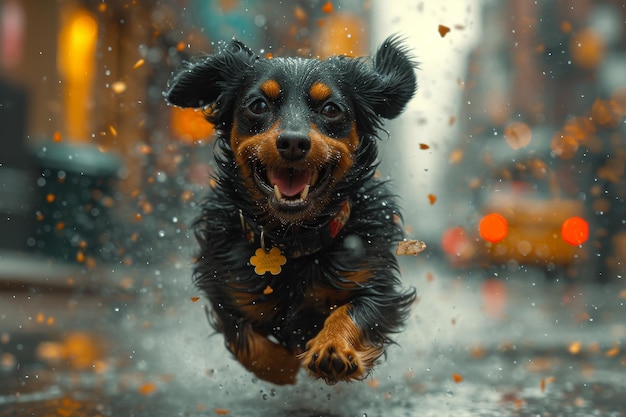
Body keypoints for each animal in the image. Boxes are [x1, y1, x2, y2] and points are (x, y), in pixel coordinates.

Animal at [166, 35, 416, 384]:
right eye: (258, 105)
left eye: (330, 109)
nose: (294, 142)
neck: (293, 239)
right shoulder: (226, 288)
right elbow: (247, 341)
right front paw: (283, 366)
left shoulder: (374, 280)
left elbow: (353, 312)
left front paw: (333, 349)